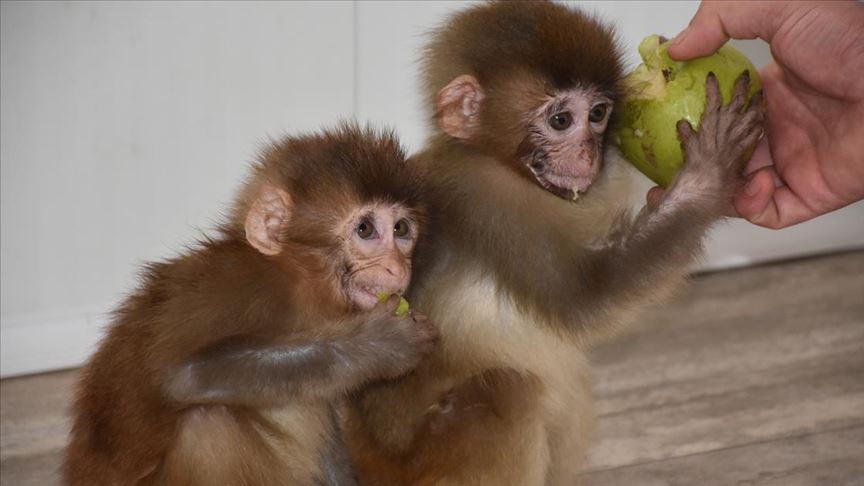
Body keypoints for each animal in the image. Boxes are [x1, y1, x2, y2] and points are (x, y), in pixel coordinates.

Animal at [63, 124, 436, 486]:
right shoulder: (238, 289)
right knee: (209, 423)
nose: (398, 267)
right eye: (366, 229)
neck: (296, 281)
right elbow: (183, 377)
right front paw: (380, 345)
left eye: (401, 229)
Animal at [344, 1, 764, 484]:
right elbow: (586, 298)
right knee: (512, 387)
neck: (494, 159)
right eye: (561, 120)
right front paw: (709, 173)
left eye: (598, 114)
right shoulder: (487, 199)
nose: (588, 155)